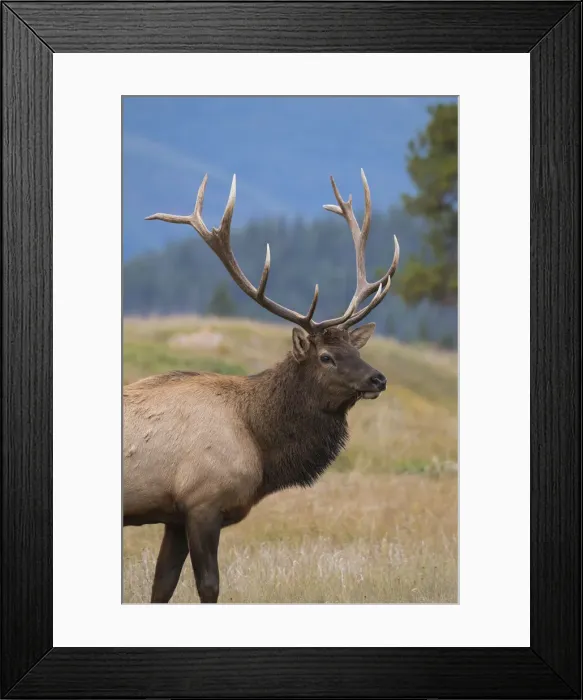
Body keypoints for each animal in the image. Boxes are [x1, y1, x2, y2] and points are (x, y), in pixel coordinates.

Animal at [123, 169, 399, 603]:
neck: (258, 442)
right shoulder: (203, 502)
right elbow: (208, 586)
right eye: (326, 357)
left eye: (355, 348)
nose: (378, 378)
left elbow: (161, 586)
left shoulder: (175, 514)